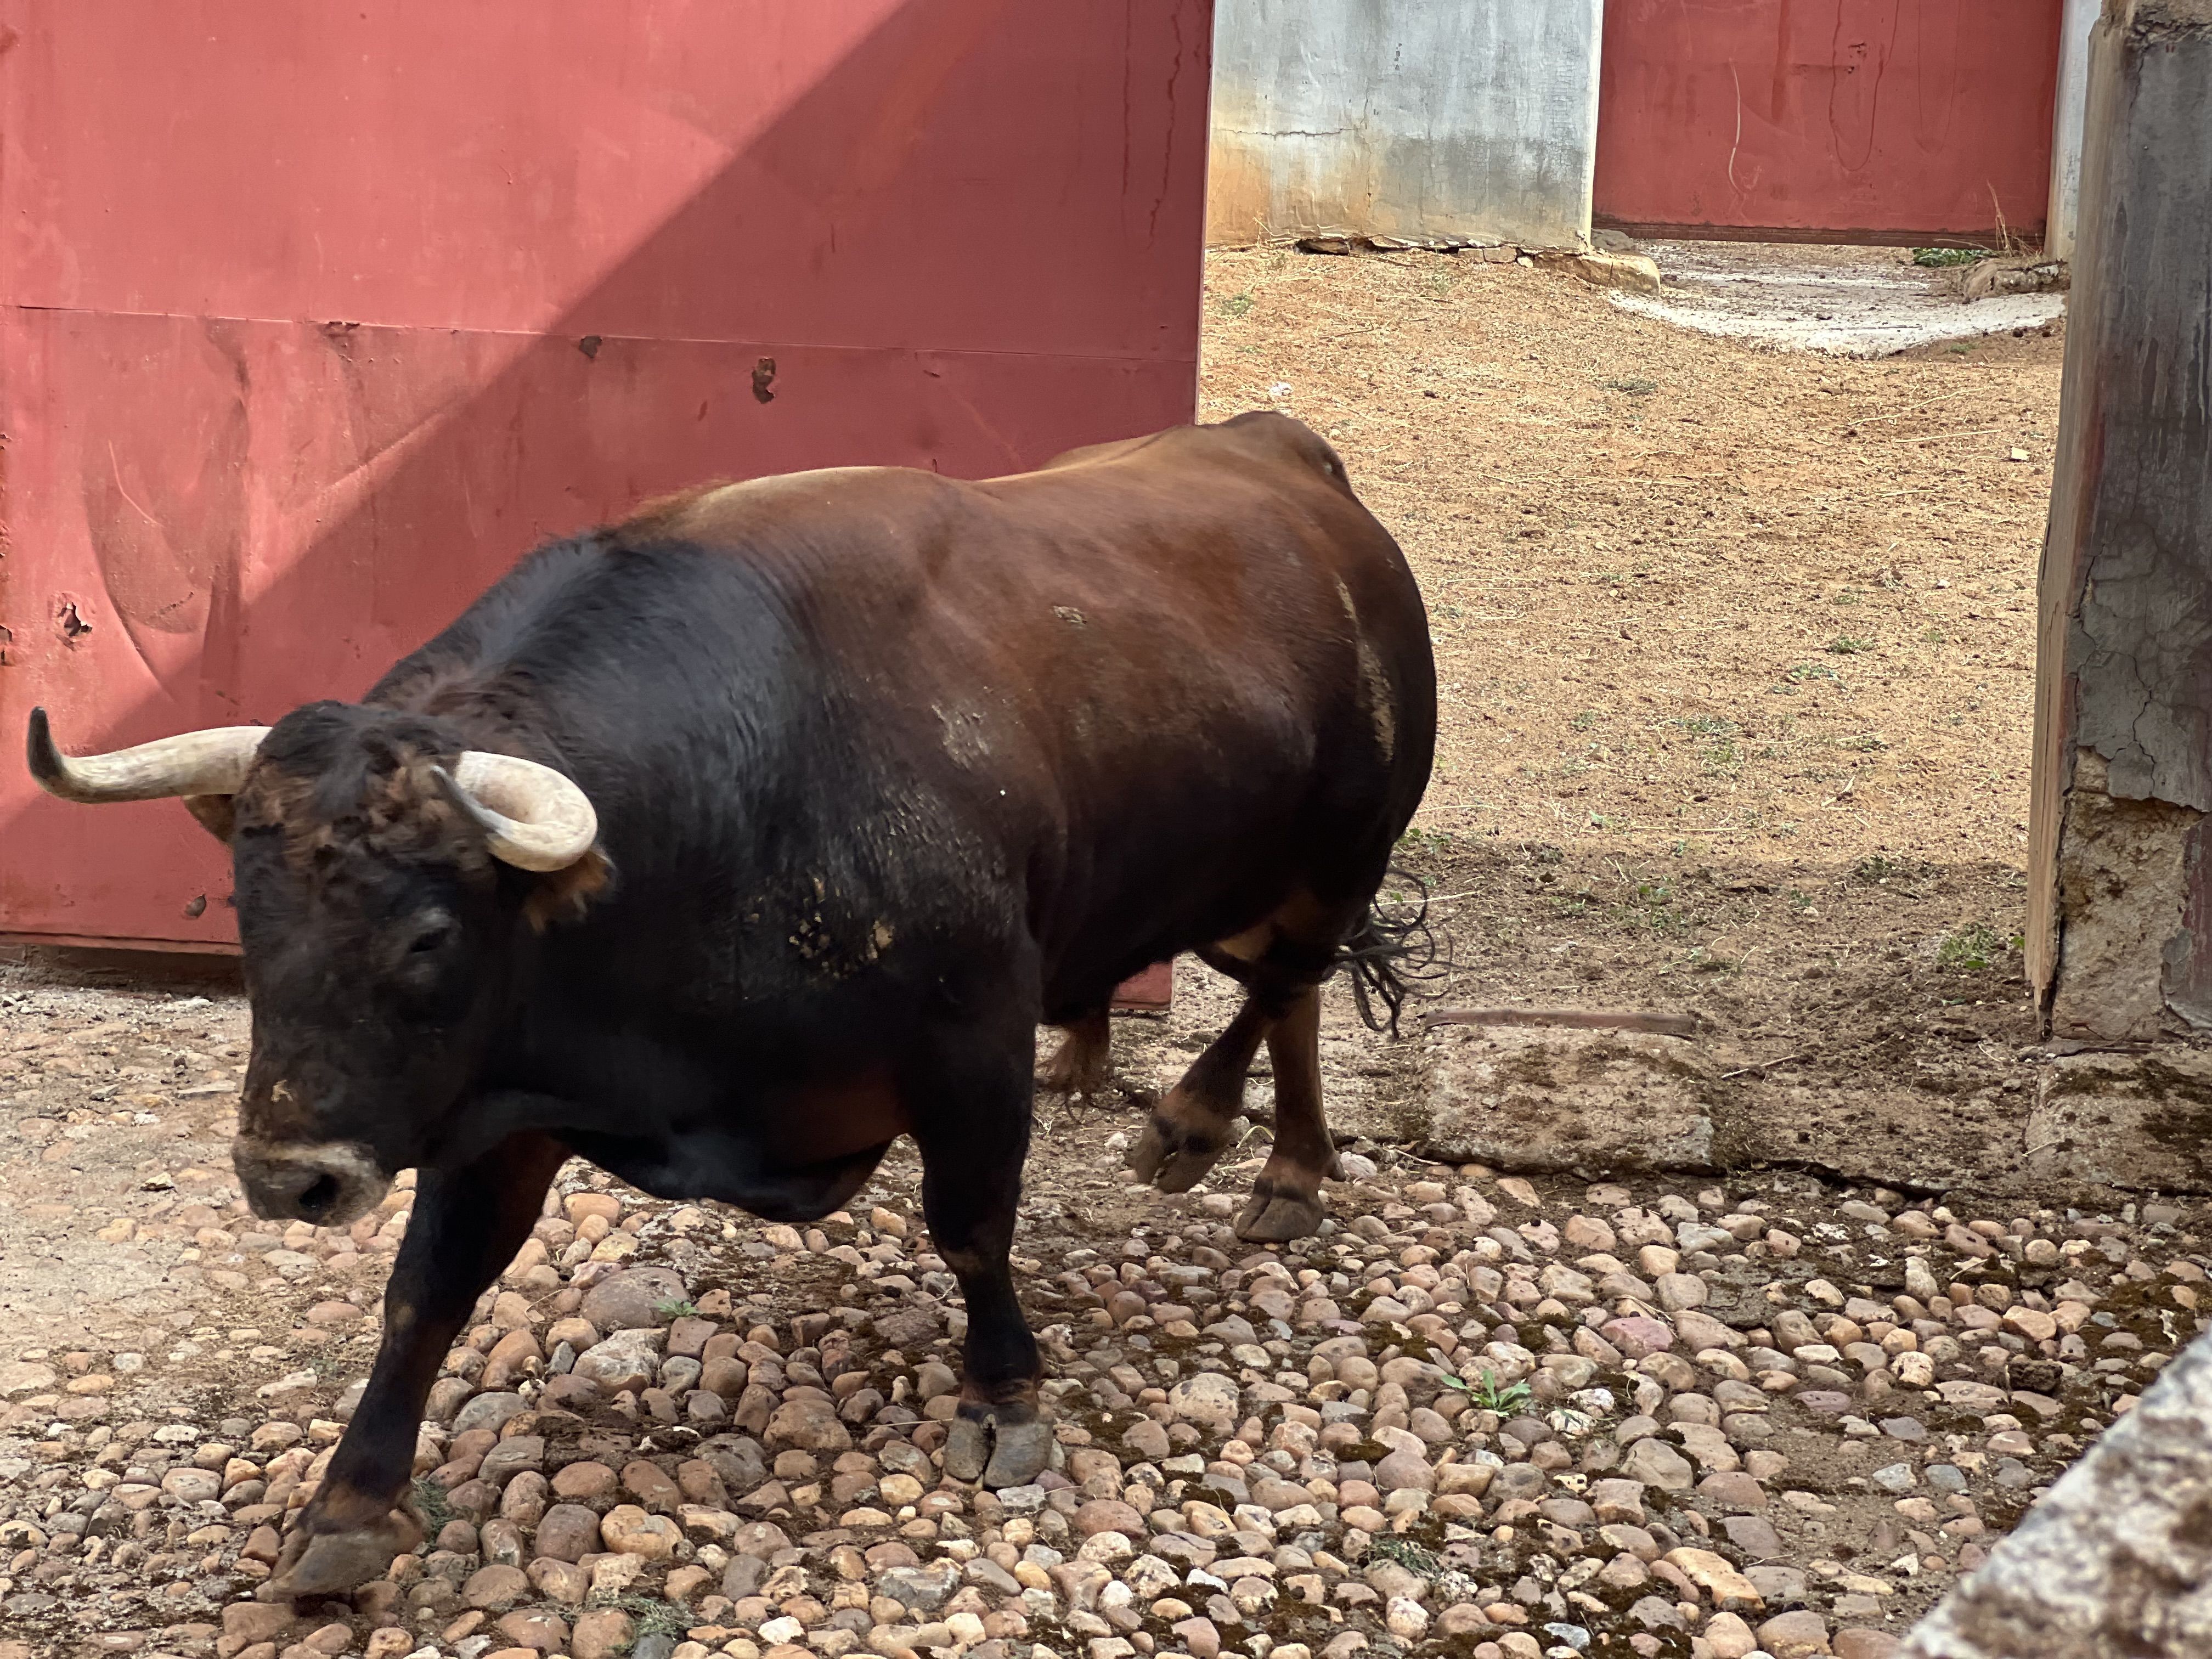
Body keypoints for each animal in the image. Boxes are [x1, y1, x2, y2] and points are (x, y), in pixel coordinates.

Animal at [26, 413, 1442, 1601]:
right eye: (247, 912)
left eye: (428, 937)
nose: (288, 1175)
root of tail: (1284, 457)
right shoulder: (498, 1102)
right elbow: (428, 1291)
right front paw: (350, 1508)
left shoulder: (973, 1042)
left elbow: (972, 1226)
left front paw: (1004, 1393)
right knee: (1283, 992)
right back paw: (1232, 1139)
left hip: (1339, 857)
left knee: (1287, 985)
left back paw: (1225, 1138)